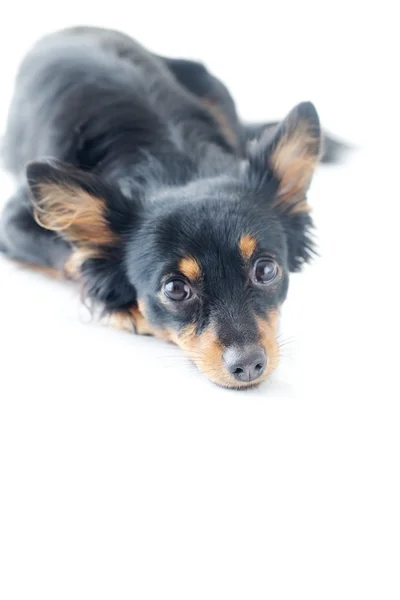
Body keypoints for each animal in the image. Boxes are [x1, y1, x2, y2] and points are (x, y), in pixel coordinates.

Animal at [0, 25, 344, 390]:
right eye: (175, 289)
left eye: (266, 270)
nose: (249, 365)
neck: (172, 161)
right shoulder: (11, 224)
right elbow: (73, 258)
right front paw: (119, 304)